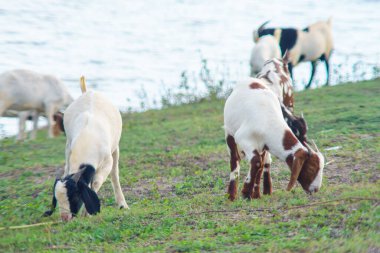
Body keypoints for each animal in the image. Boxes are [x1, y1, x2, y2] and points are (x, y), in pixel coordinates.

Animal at [43, 76, 127, 220]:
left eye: (74, 197)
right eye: (57, 199)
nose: (65, 218)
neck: (87, 142)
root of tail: (87, 92)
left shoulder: (107, 162)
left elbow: (96, 182)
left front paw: (86, 213)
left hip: (115, 148)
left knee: (115, 174)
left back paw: (122, 204)